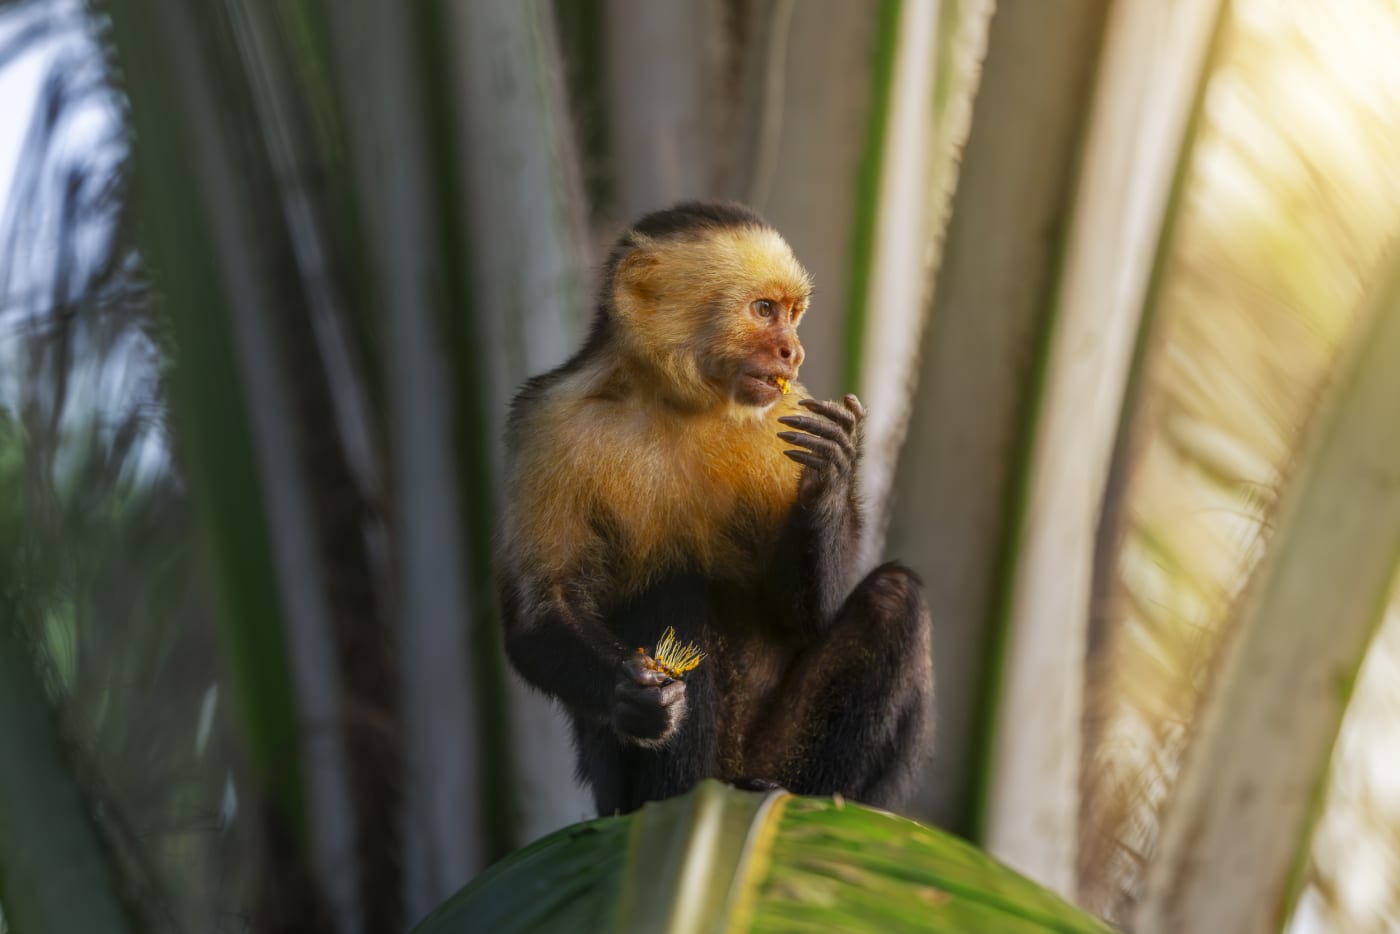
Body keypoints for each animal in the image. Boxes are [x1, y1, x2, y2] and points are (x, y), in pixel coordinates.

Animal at [498, 201, 932, 816]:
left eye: (792, 313)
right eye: (763, 310)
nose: (793, 352)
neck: (675, 398)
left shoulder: (785, 411)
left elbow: (803, 615)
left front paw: (833, 474)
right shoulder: (546, 419)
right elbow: (540, 612)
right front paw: (631, 696)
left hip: (779, 755)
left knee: (895, 598)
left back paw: (812, 798)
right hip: (616, 794)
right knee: (671, 584)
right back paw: (676, 793)